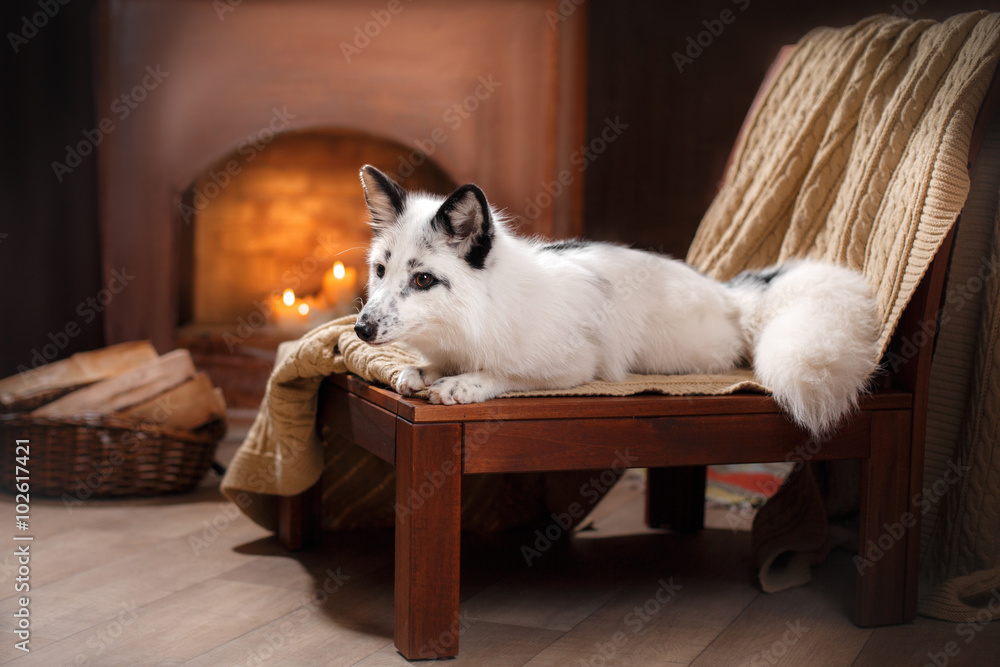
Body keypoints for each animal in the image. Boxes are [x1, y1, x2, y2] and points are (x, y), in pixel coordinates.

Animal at [353, 165, 879, 438]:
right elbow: (428, 367)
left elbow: (507, 374)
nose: (360, 329)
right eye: (380, 271)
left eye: (423, 279)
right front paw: (423, 372)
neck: (477, 315)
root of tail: (729, 294)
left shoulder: (574, 367)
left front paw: (466, 383)